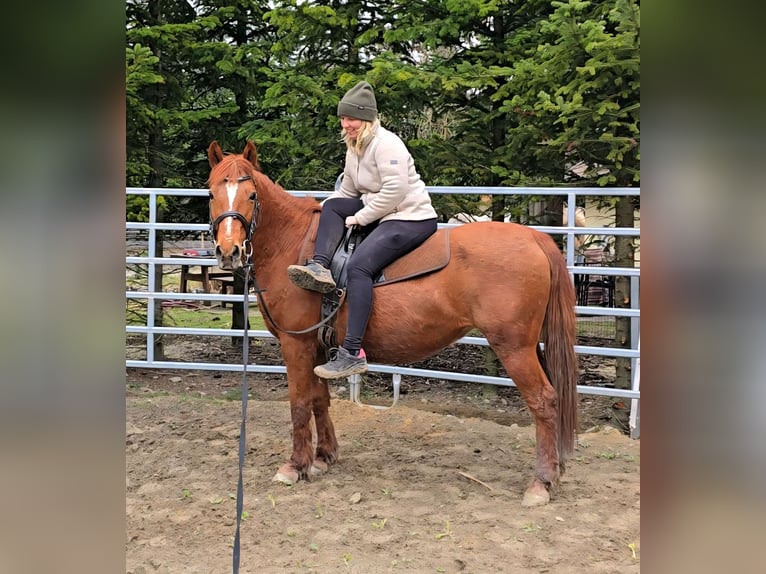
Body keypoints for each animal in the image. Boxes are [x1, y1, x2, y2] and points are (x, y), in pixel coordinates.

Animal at [206, 140, 579, 507]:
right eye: (211, 193)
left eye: (251, 195)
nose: (229, 251)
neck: (294, 244)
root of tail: (534, 238)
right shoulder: (317, 346)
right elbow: (319, 400)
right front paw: (323, 457)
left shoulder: (295, 344)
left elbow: (299, 403)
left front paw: (295, 466)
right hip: (532, 346)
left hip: (515, 348)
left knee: (544, 400)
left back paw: (541, 482)